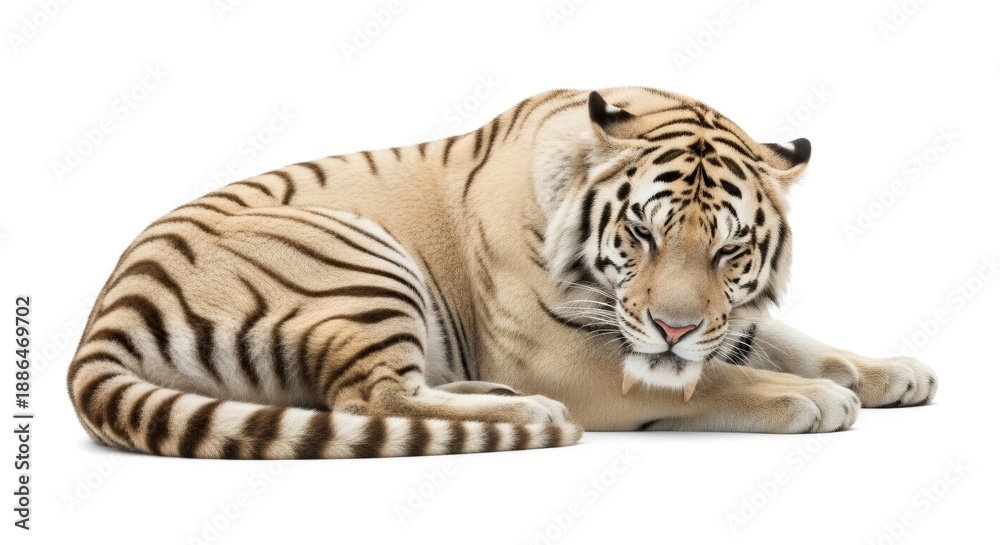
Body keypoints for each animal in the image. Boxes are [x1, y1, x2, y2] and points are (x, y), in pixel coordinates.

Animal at [67, 86, 938, 459]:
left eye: (728, 250)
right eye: (641, 232)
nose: (674, 325)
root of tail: (105, 315)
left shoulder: (726, 317)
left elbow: (783, 339)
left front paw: (892, 371)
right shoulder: (579, 361)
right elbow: (716, 377)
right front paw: (816, 398)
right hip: (358, 258)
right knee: (370, 396)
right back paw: (525, 412)